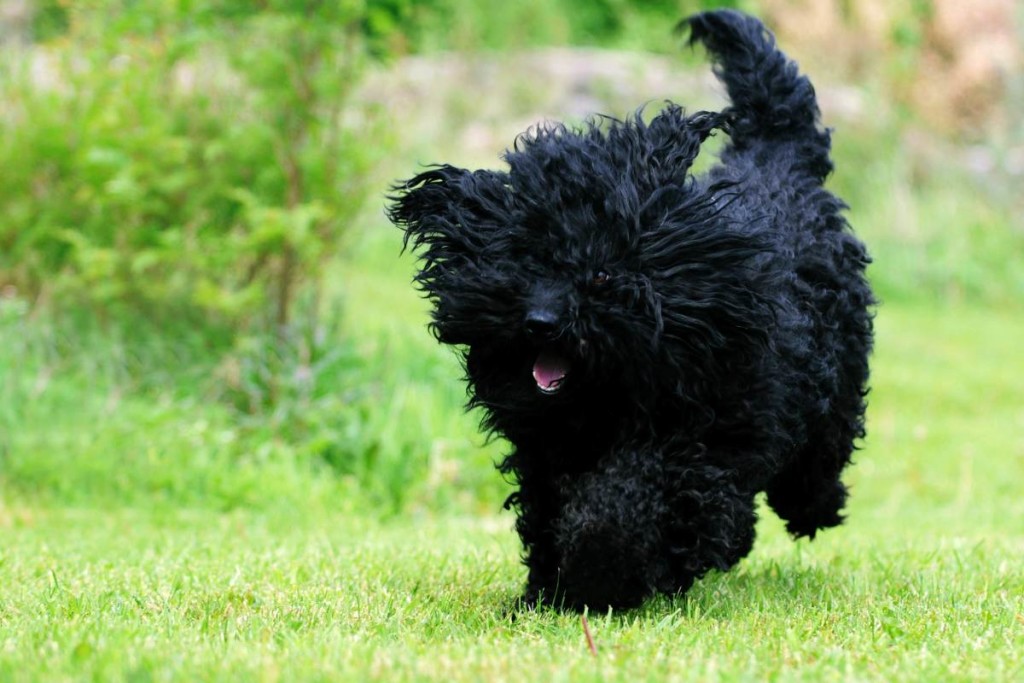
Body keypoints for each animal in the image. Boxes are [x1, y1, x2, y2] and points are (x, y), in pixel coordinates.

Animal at [387, 9, 876, 610]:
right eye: (521, 263)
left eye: (600, 273)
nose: (541, 322)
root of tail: (775, 161)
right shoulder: (551, 456)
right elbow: (553, 516)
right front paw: (545, 592)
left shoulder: (691, 446)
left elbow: (622, 508)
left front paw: (601, 578)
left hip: (833, 383)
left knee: (819, 456)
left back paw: (810, 509)